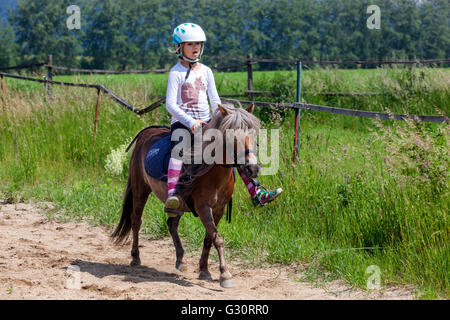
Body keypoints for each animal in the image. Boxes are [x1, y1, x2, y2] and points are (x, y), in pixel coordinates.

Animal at [110, 103, 262, 288]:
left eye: (254, 134)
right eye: (231, 136)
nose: (252, 169)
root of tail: (146, 134)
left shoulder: (219, 208)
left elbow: (209, 238)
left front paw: (204, 270)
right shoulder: (203, 206)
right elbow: (217, 238)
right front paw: (225, 275)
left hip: (177, 204)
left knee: (171, 224)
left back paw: (180, 260)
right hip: (141, 189)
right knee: (136, 220)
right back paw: (135, 258)